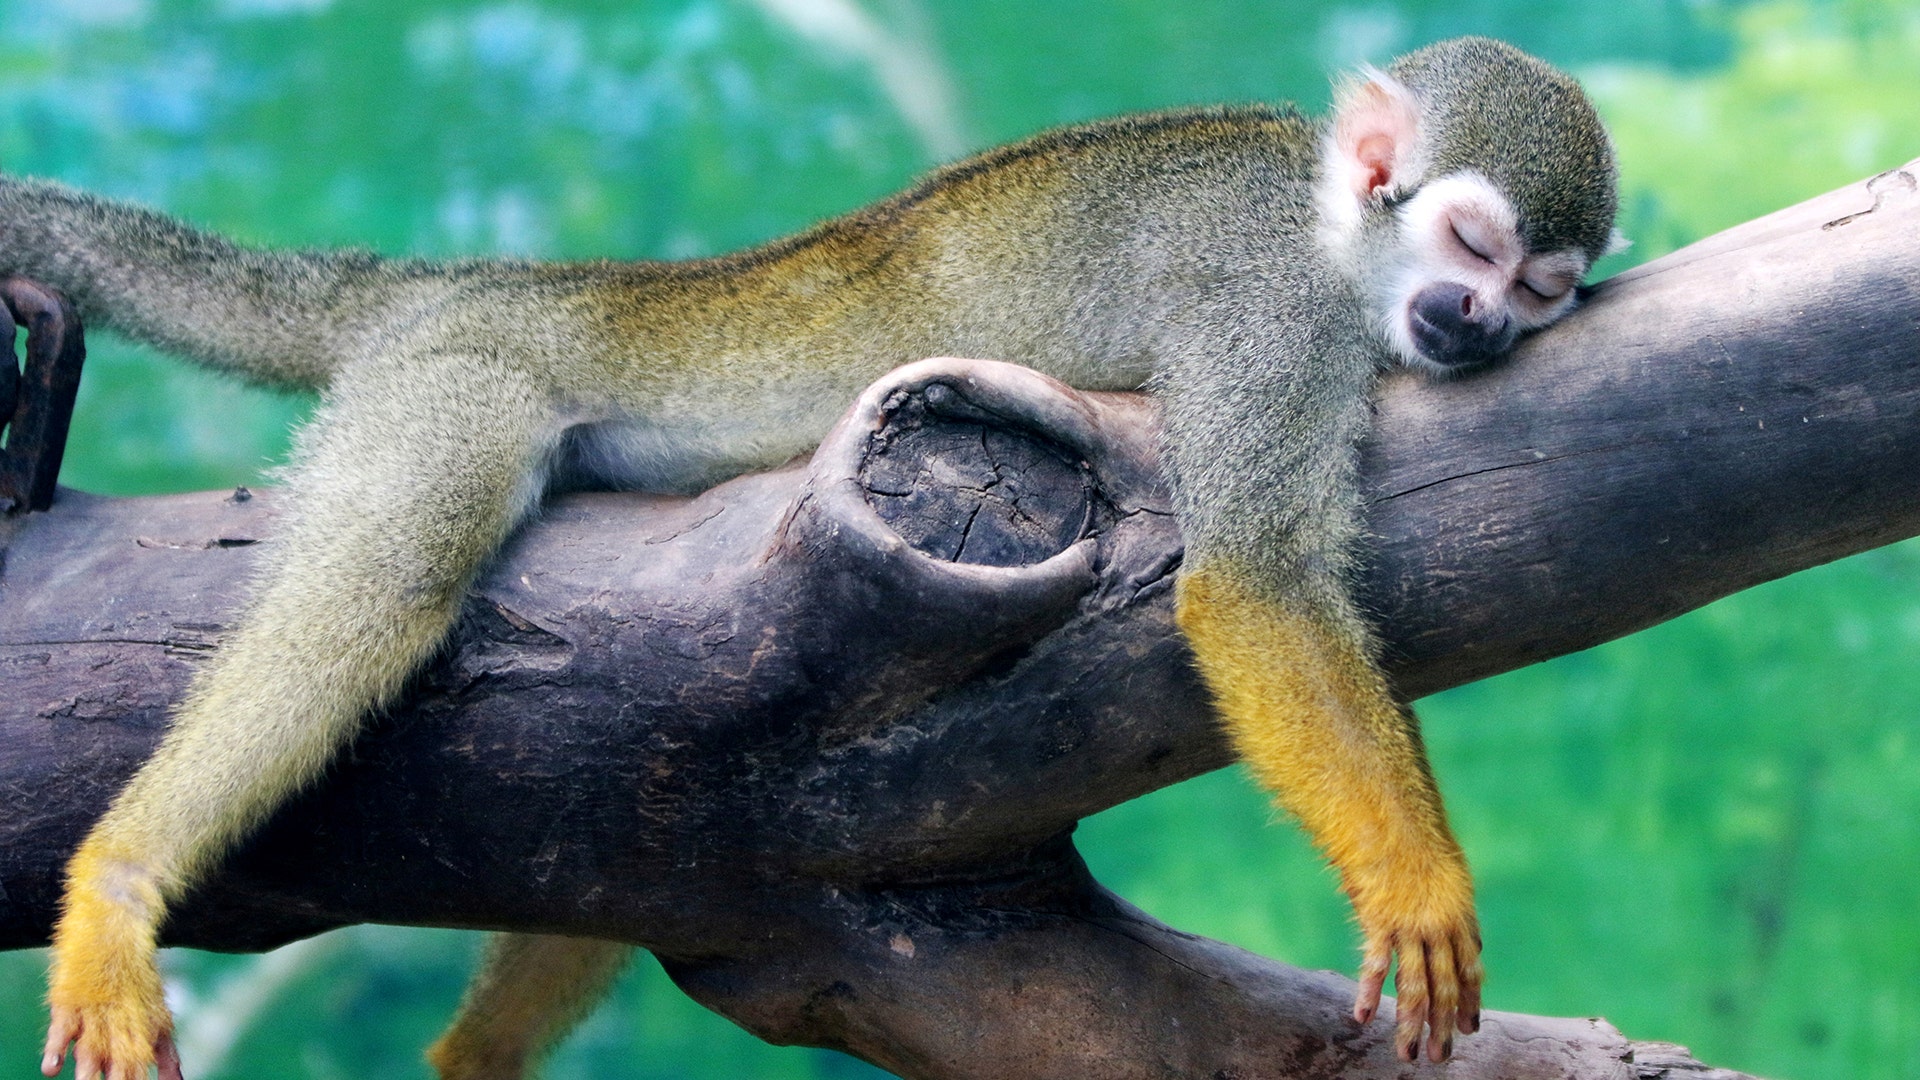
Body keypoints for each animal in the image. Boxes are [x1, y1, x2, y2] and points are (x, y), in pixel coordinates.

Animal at [3, 36, 1617, 1080]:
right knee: (374, 588)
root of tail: (472, 285)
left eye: (1544, 290)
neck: (1334, 236)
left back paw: (472, 1057)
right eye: (1471, 249)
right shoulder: (1271, 312)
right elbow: (1253, 585)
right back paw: (121, 881)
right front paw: (1418, 881)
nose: (1476, 325)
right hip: (453, 389)